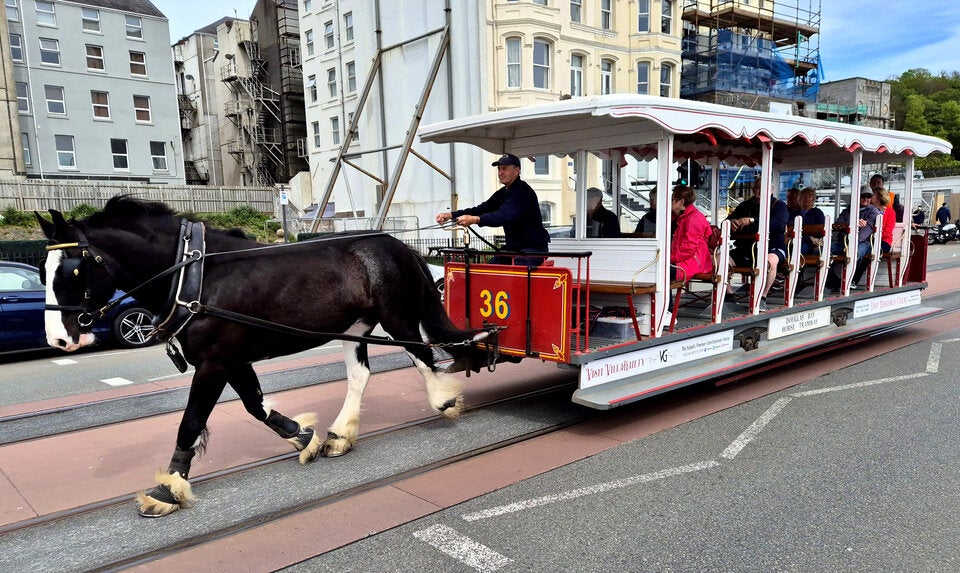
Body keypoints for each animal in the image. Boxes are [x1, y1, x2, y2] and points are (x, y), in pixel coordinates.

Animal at [37, 196, 489, 517]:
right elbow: (254, 404)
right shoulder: (230, 359)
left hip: (397, 317)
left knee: (421, 353)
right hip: (354, 326)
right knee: (361, 374)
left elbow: (191, 421)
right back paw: (341, 433)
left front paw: (167, 488)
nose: (58, 339)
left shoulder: (214, 362)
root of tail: (394, 242)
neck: (193, 275)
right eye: (43, 271)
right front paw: (303, 435)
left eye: (73, 270)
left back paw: (443, 400)